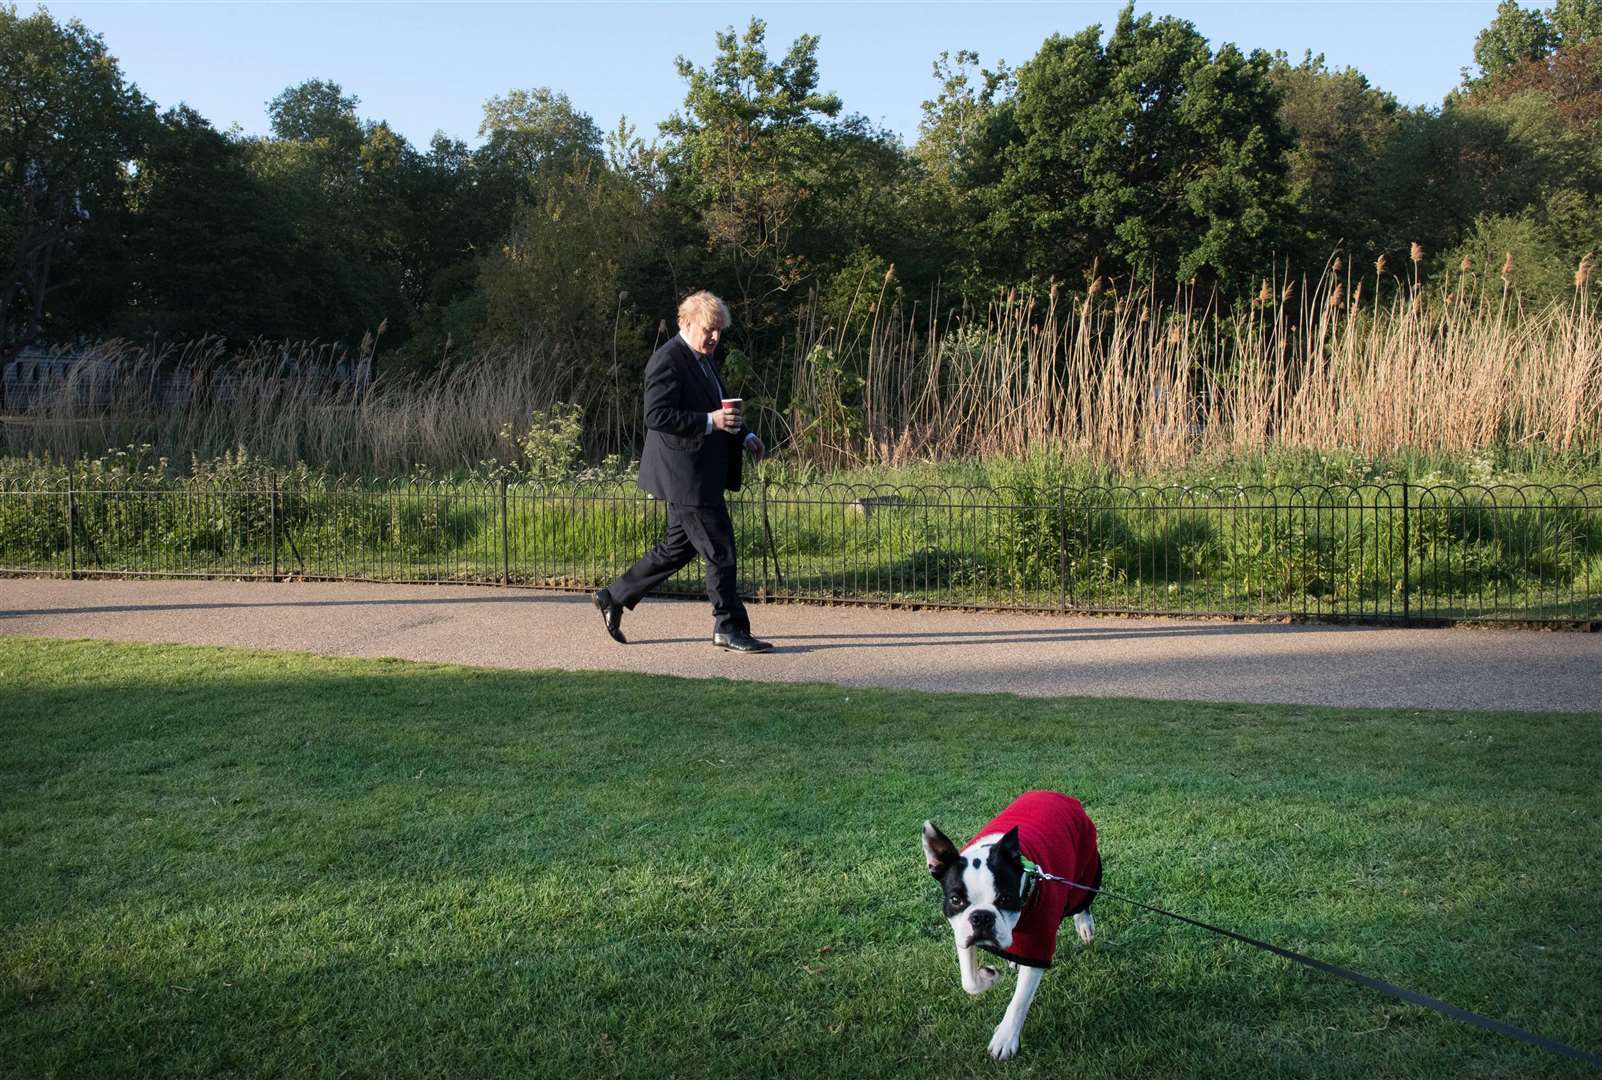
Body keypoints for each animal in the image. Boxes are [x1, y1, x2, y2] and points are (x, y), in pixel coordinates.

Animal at [929, 785, 1102, 1057]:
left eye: (1005, 898)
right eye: (955, 900)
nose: (981, 917)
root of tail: (1054, 793)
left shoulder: (1039, 943)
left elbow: (1020, 1000)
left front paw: (1005, 1038)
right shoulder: (962, 932)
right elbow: (969, 981)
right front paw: (988, 976)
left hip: (1085, 865)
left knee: (1082, 900)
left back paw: (1084, 925)